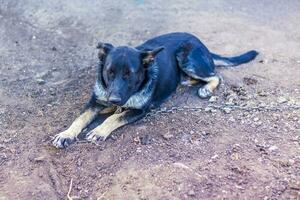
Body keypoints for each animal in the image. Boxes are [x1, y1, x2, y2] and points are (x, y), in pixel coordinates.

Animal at [52, 32, 258, 148]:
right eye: (109, 73)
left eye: (130, 74)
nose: (114, 100)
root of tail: (199, 41)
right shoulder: (95, 101)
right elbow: (80, 118)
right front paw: (66, 134)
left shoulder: (139, 111)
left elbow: (114, 118)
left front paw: (100, 130)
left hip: (187, 58)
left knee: (215, 75)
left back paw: (206, 89)